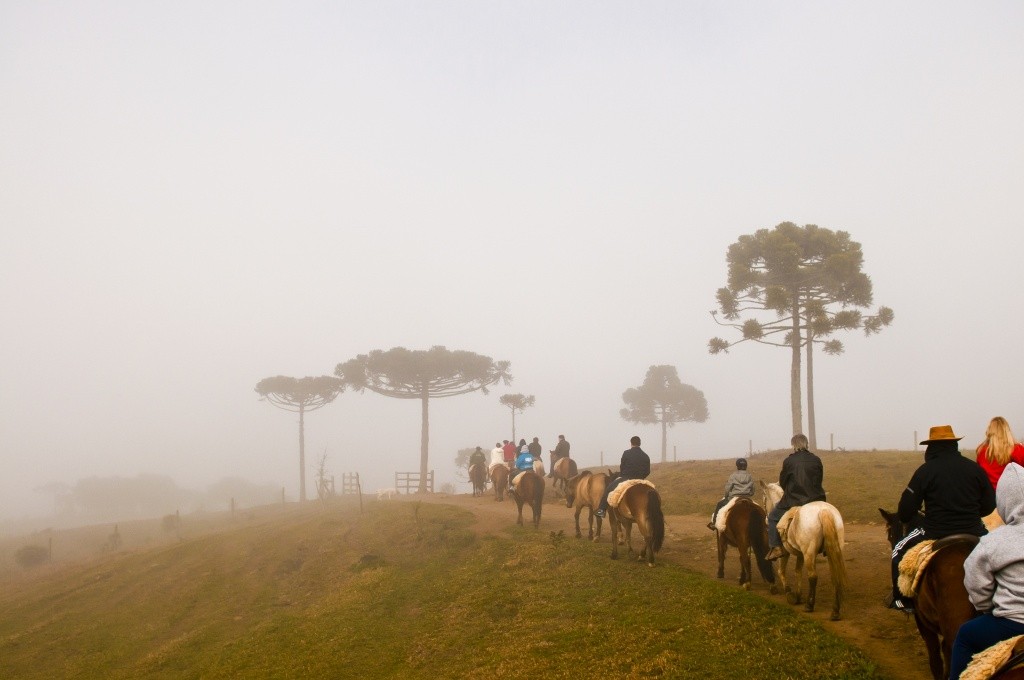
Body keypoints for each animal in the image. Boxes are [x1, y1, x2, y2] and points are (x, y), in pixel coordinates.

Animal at [761, 481, 847, 618]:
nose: (765, 519)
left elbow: (782, 571)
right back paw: (835, 610)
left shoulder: (785, 553)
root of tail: (823, 510)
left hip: (809, 553)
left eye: (764, 498)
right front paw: (798, 595)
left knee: (813, 577)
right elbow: (798, 571)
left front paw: (789, 593)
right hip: (833, 550)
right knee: (835, 574)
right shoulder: (800, 554)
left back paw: (809, 605)